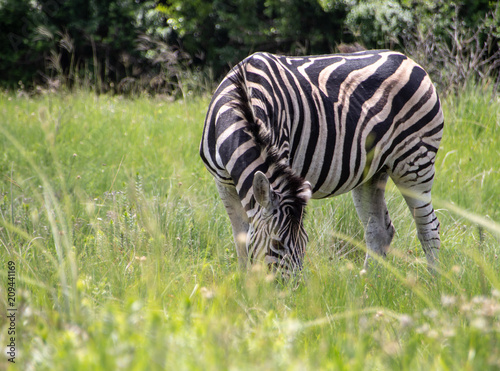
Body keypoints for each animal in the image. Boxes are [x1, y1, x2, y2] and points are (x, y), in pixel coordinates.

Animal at [199, 49, 442, 278]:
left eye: (305, 244)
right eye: (277, 244)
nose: (290, 290)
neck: (242, 101)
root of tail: (409, 61)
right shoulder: (223, 182)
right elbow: (241, 239)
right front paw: (245, 284)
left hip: (415, 162)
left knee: (428, 226)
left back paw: (433, 283)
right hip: (373, 172)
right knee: (380, 230)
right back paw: (368, 283)